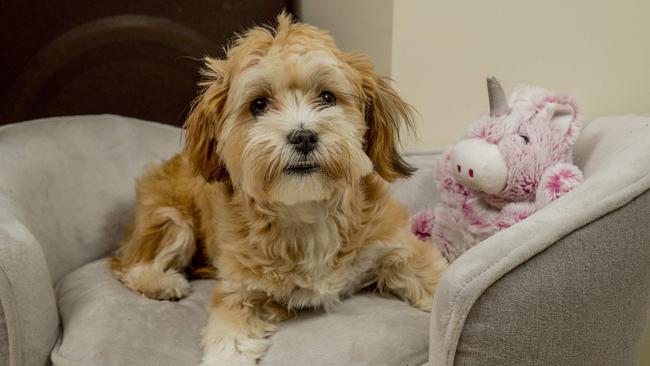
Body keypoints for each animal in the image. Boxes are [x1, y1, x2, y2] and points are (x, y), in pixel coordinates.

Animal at [111, 12, 446, 366]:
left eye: (327, 97)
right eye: (259, 104)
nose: (304, 136)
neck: (306, 212)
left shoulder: (398, 249)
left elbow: (436, 278)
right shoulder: (239, 291)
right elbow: (229, 337)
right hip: (171, 220)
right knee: (128, 265)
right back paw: (163, 281)